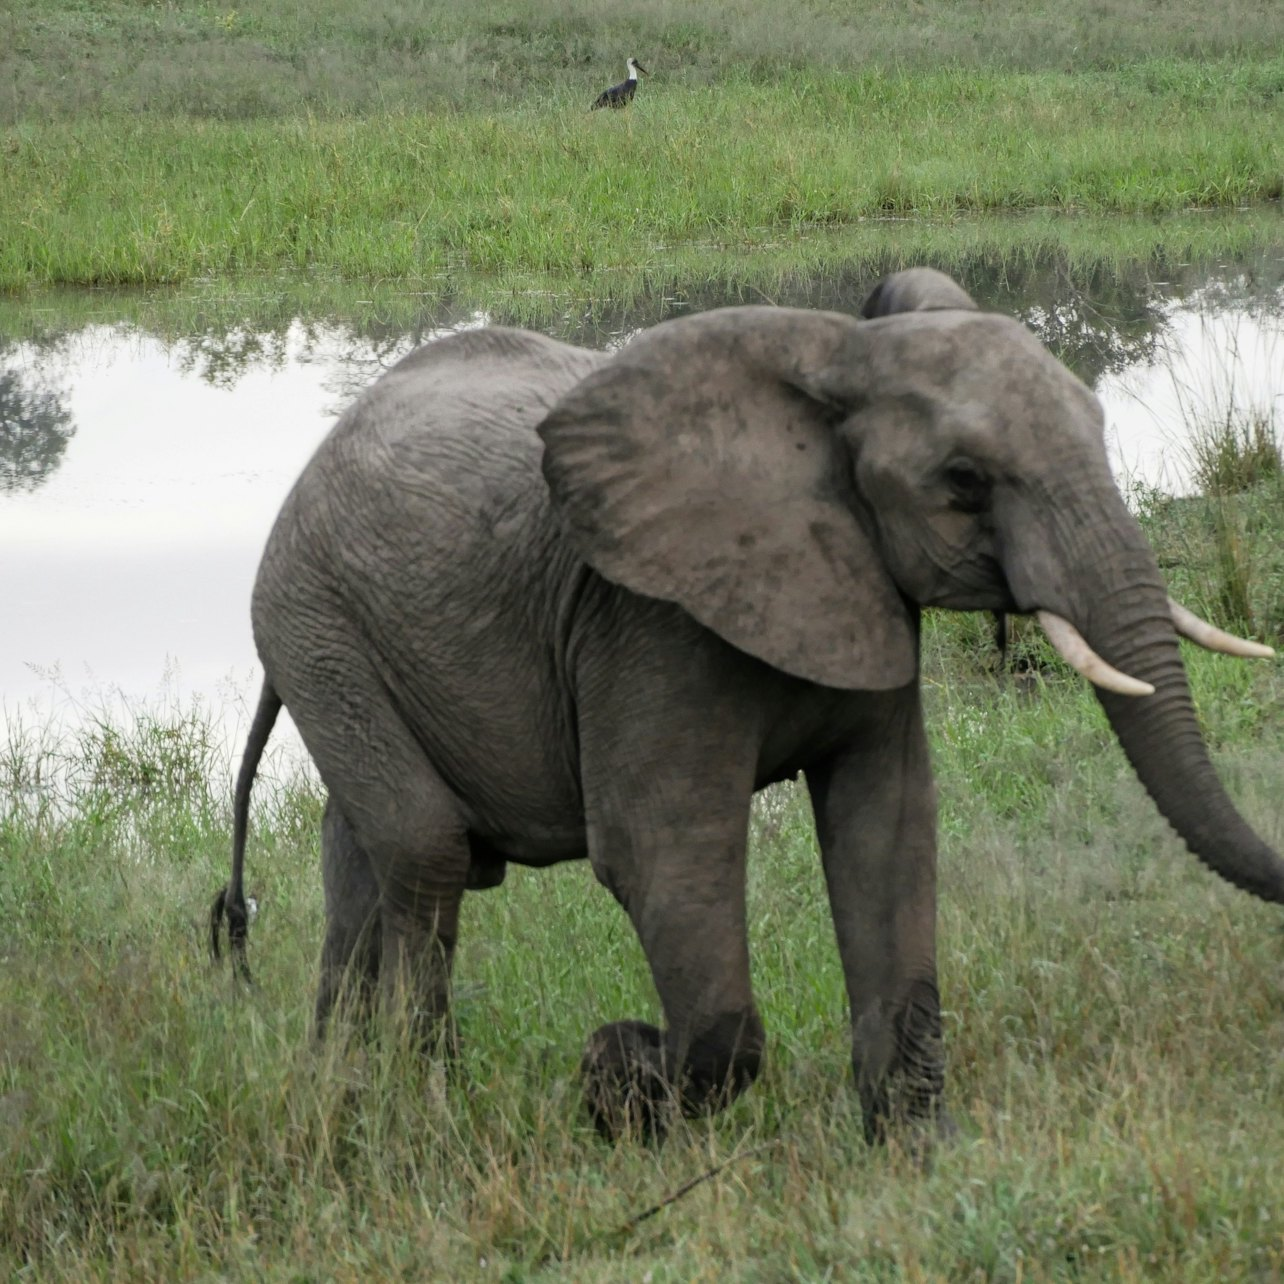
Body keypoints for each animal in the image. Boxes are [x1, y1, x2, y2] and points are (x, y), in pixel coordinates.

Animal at [208, 265, 1273, 1140]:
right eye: (965, 481)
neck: (838, 361)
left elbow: (887, 826)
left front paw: (917, 1156)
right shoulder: (650, 621)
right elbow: (660, 853)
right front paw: (616, 1080)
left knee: (361, 856)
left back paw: (340, 1095)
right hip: (312, 619)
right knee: (427, 852)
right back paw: (424, 1110)